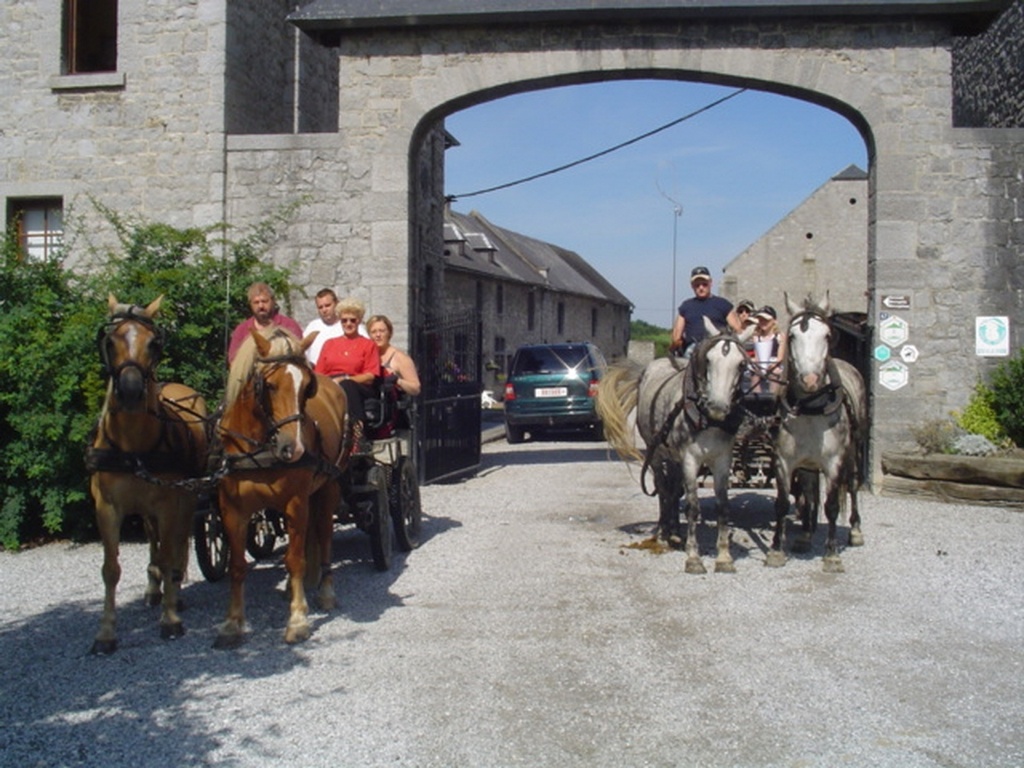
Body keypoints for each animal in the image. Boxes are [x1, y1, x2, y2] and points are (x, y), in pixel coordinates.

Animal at [87, 294, 208, 655]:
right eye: (110, 340)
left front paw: (170, 621)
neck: (132, 446)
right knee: (155, 539)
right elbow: (110, 569)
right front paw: (105, 633)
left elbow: (170, 554)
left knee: (177, 542)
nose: (129, 391)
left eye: (153, 343)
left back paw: (174, 590)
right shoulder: (106, 508)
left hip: (187, 496)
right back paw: (155, 587)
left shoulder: (169, 502)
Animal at [214, 325, 350, 651]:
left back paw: (325, 591)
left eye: (307, 387)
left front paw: (298, 620)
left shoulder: (295, 503)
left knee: (324, 536)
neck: (259, 448)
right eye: (270, 386)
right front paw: (232, 624)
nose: (294, 448)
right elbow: (237, 566)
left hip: (328, 488)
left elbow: (295, 560)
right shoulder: (231, 509)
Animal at [598, 315, 757, 573]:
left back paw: (674, 531)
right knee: (663, 489)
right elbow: (692, 506)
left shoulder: (722, 459)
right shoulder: (690, 459)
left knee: (673, 489)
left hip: (674, 458)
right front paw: (693, 557)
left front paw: (724, 557)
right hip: (657, 452)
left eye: (742, 364)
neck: (706, 419)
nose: (717, 407)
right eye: (708, 360)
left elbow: (723, 507)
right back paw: (664, 533)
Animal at [770, 294, 868, 573]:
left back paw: (855, 529)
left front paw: (832, 554)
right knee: (810, 491)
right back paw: (805, 534)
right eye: (792, 336)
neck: (811, 408)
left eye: (826, 335)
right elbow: (782, 503)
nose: (810, 380)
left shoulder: (834, 462)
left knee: (853, 486)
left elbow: (832, 505)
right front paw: (776, 551)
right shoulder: (784, 461)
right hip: (808, 464)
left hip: (853, 453)